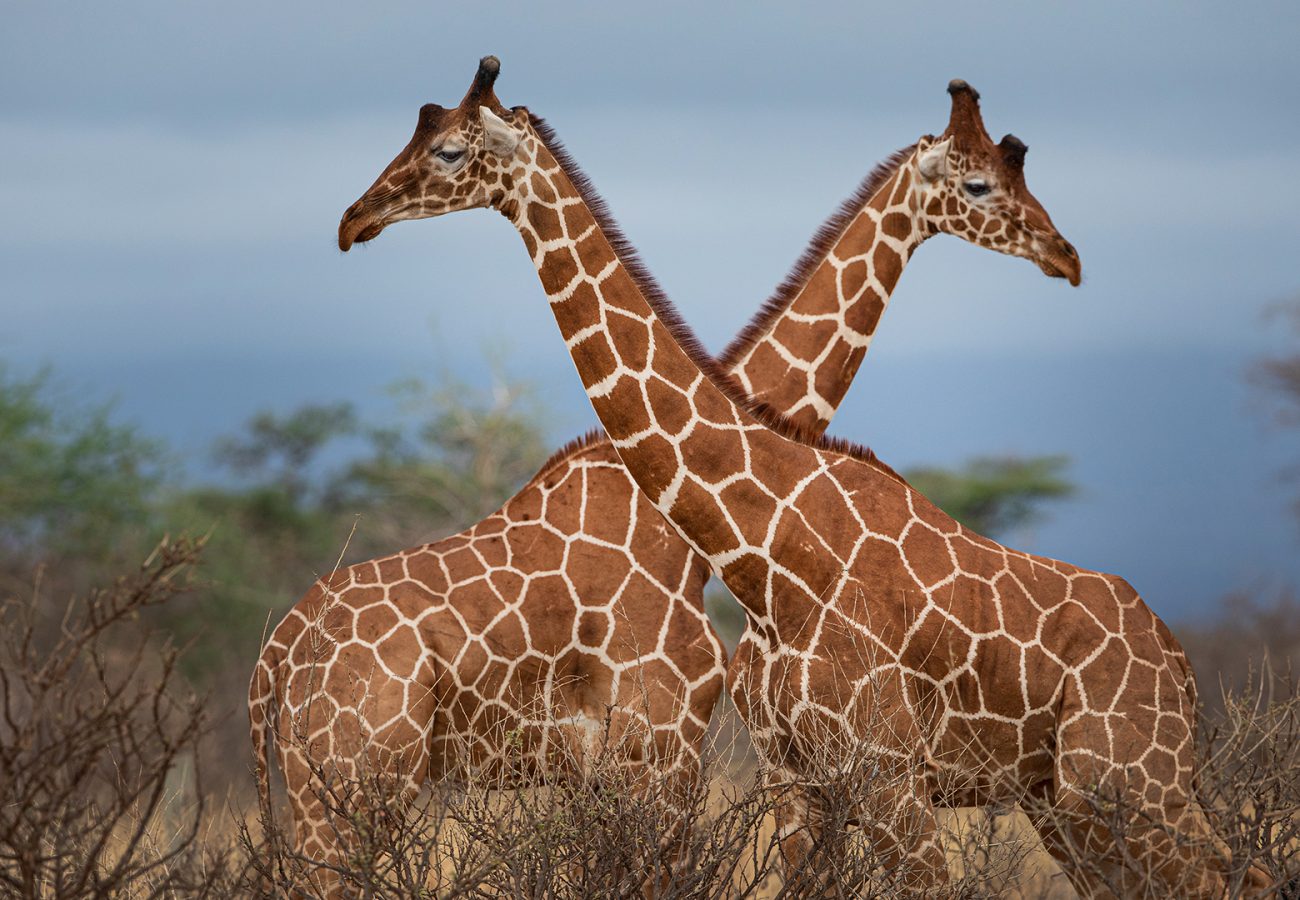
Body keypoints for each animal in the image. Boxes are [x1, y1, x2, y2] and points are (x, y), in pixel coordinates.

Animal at [340, 59, 1274, 894]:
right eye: (979, 183)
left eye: (449, 150)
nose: (355, 217)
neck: (765, 553)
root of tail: (1180, 662)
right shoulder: (796, 778)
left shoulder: (882, 772)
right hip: (1073, 800)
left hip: (1126, 781)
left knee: (1232, 873)